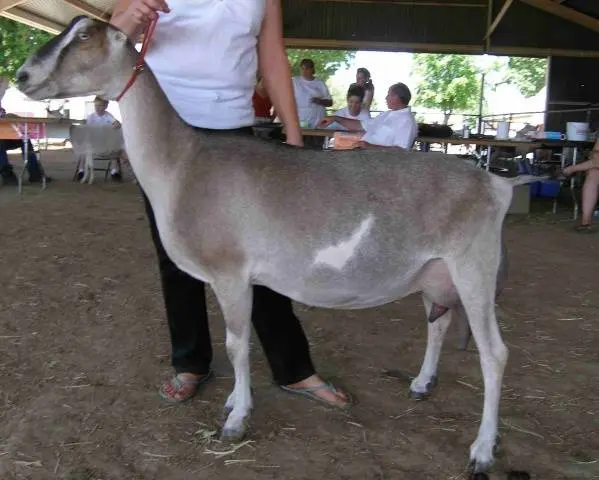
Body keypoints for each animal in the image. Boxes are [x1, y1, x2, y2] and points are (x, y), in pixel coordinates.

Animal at [16, 16, 536, 474]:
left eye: (84, 35)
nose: (22, 76)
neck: (183, 164)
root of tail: (497, 183)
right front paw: (232, 403)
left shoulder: (230, 271)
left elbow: (237, 344)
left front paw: (235, 420)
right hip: (435, 271)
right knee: (439, 322)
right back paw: (421, 384)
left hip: (474, 265)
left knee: (494, 353)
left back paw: (482, 450)